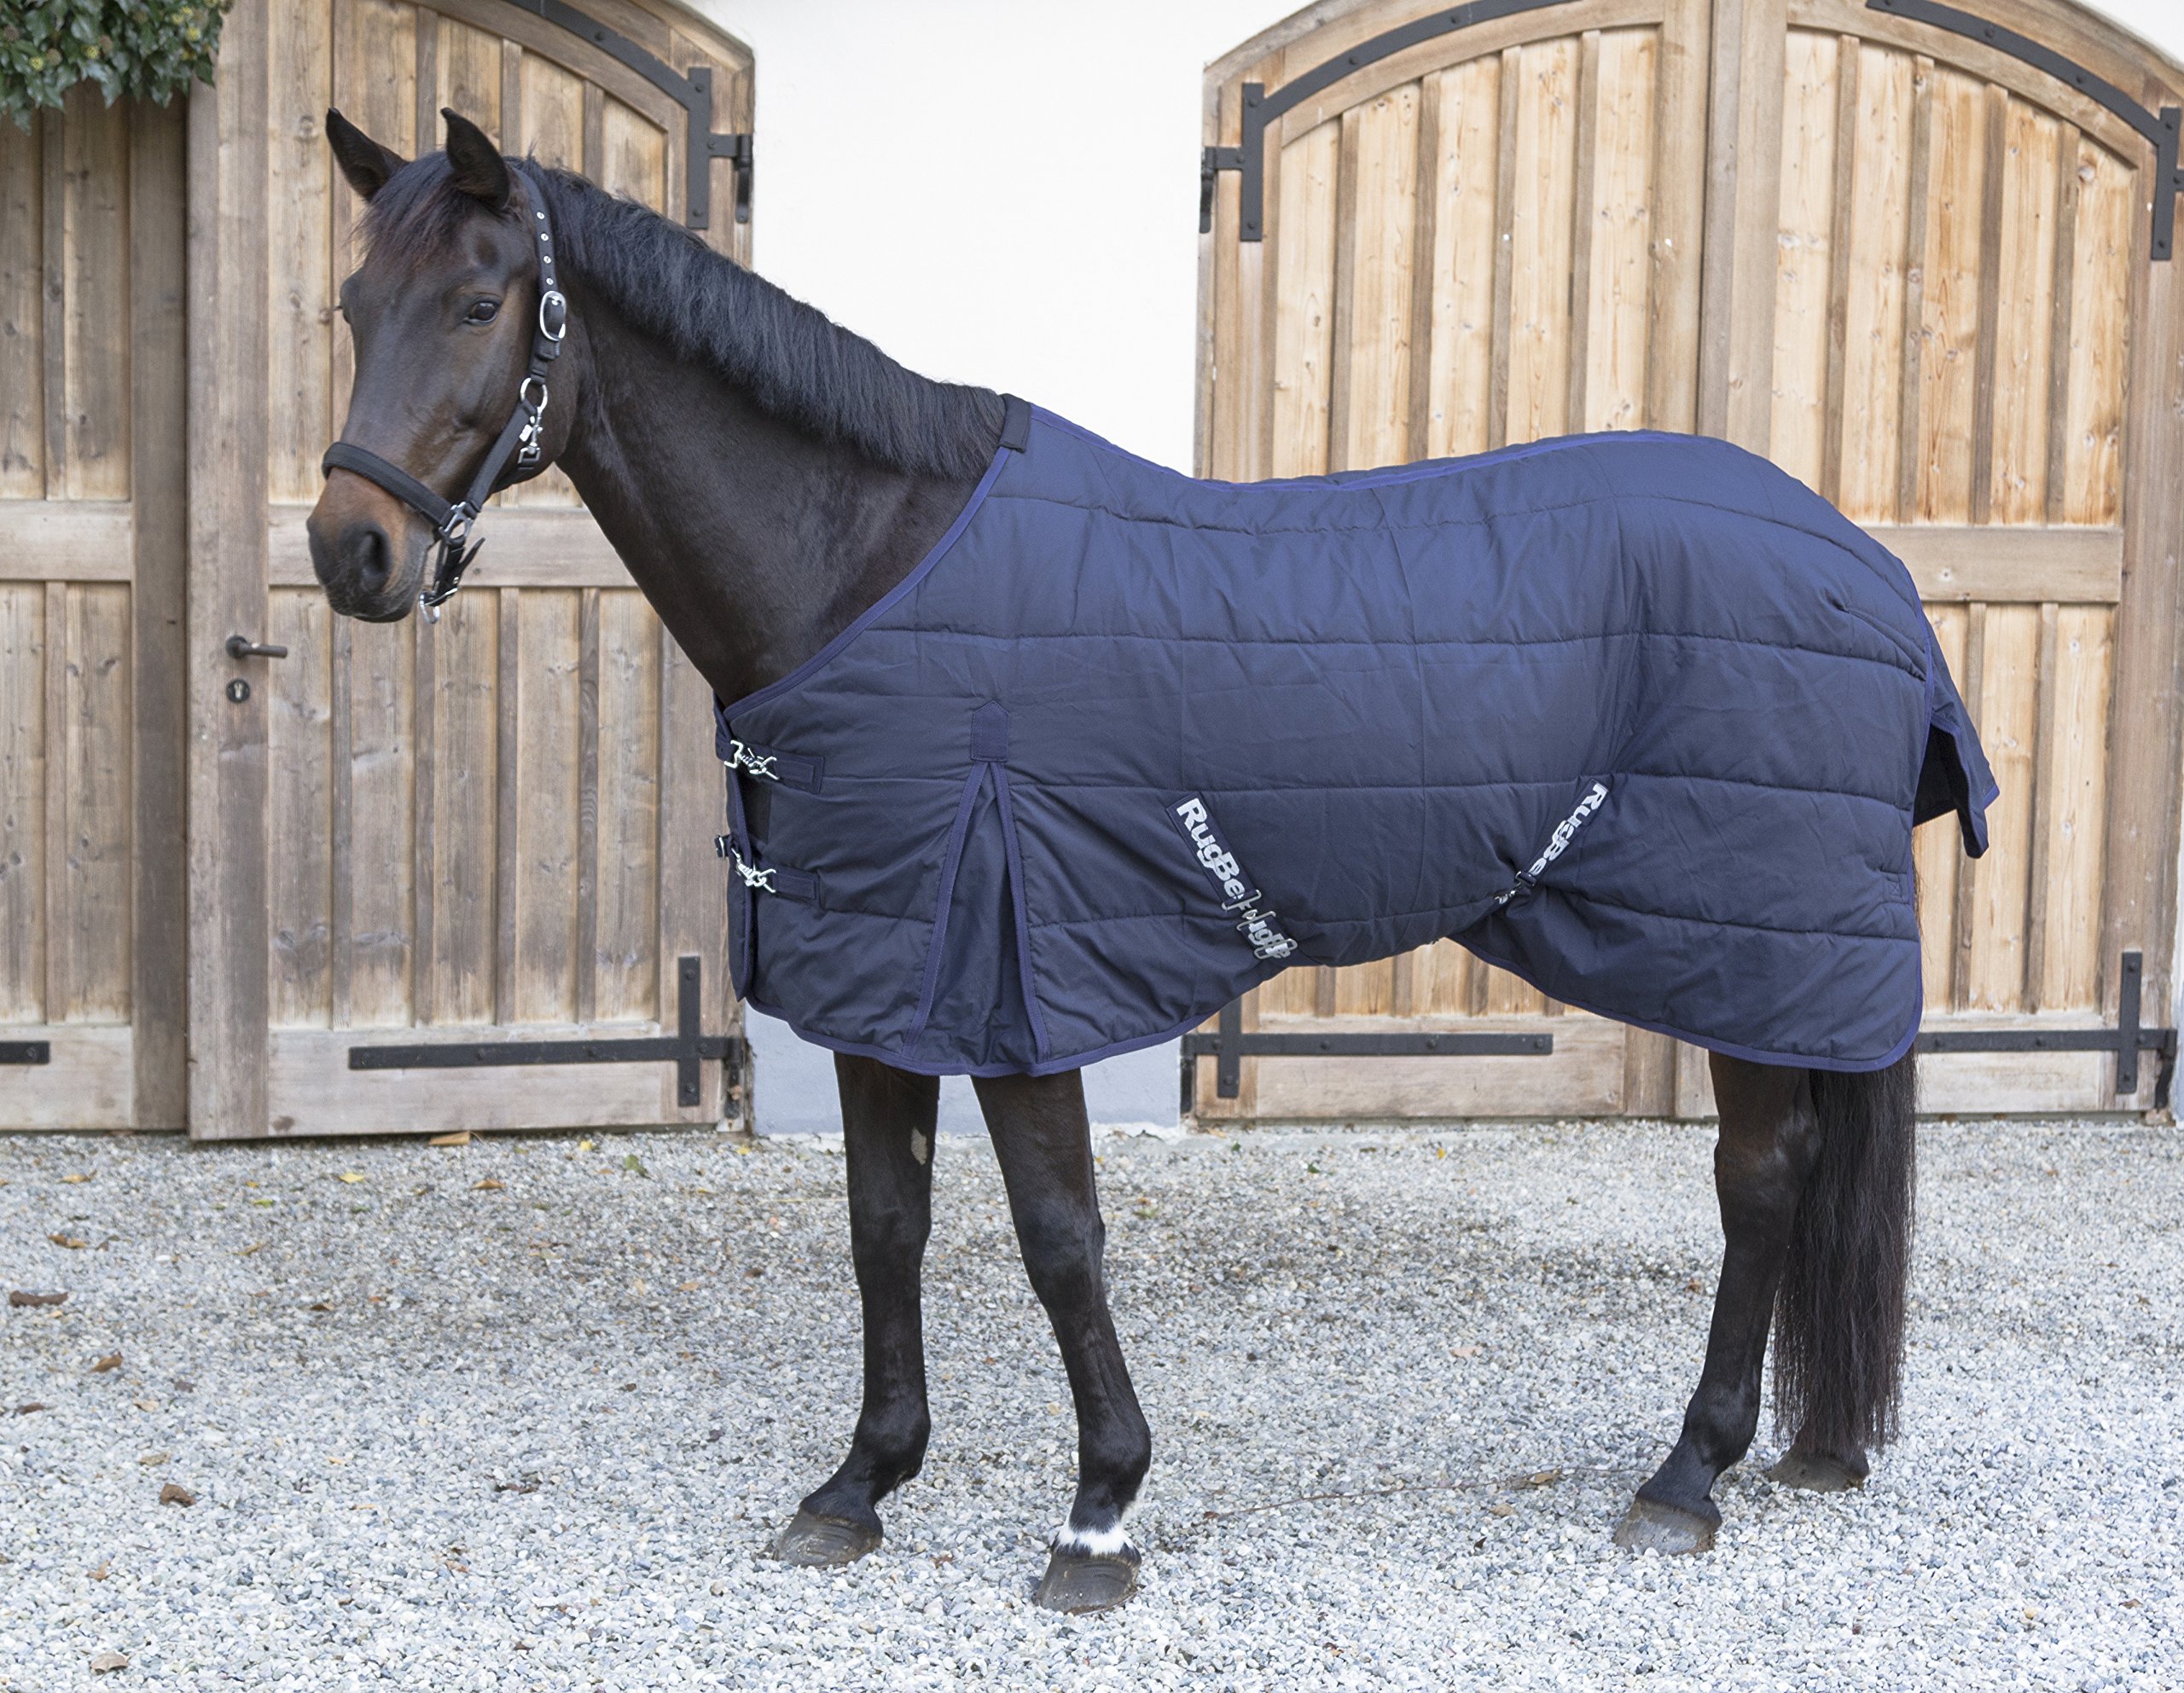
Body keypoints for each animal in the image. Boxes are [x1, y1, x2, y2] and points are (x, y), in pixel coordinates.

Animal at [309, 107, 1958, 1613]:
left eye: (478, 304)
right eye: (349, 304)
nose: (348, 551)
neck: (869, 568)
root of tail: (1864, 563)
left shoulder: (1013, 970)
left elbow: (1059, 1241)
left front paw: (1098, 1516)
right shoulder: (878, 975)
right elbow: (885, 1229)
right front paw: (860, 1484)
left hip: (1746, 946)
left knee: (1760, 1180)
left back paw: (1688, 1476)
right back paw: (1799, 1449)